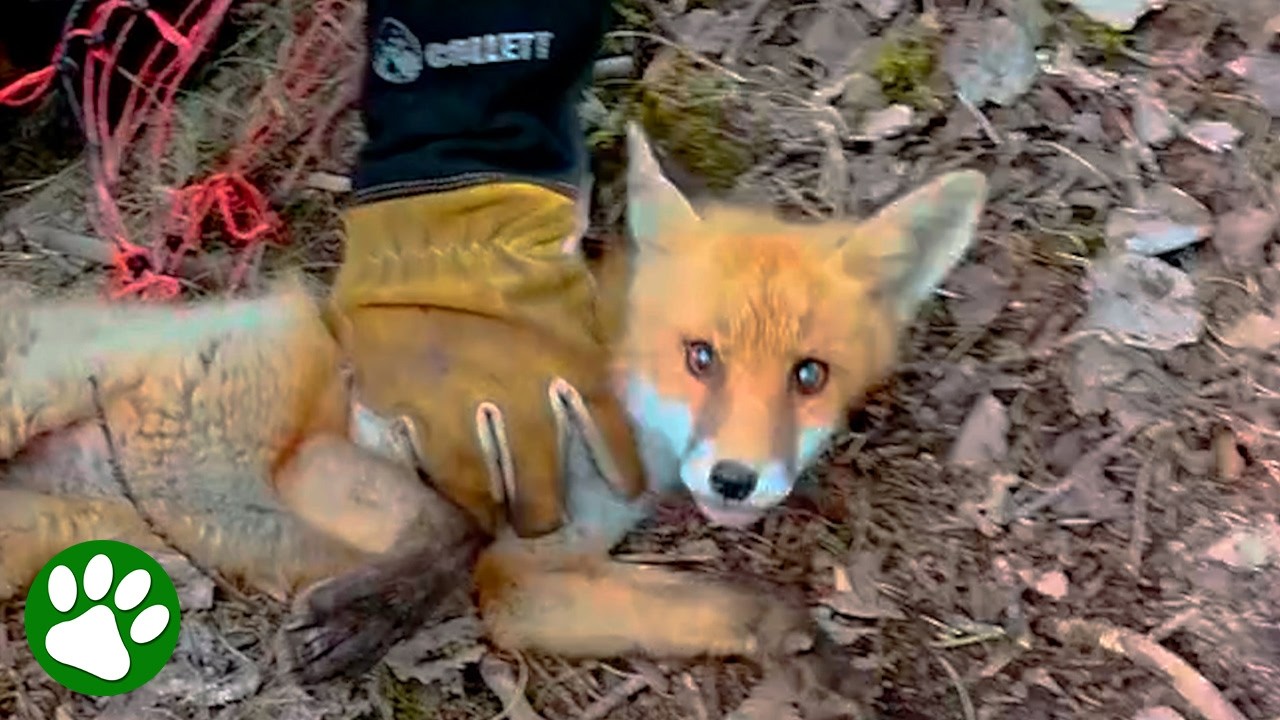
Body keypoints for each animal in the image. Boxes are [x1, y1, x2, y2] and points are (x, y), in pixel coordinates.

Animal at [0, 123, 987, 684]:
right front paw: (364, 620)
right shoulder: (317, 444)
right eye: (700, 358)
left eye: (808, 375)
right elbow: (454, 527)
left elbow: (712, 603)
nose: (737, 480)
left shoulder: (530, 584)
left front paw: (791, 639)